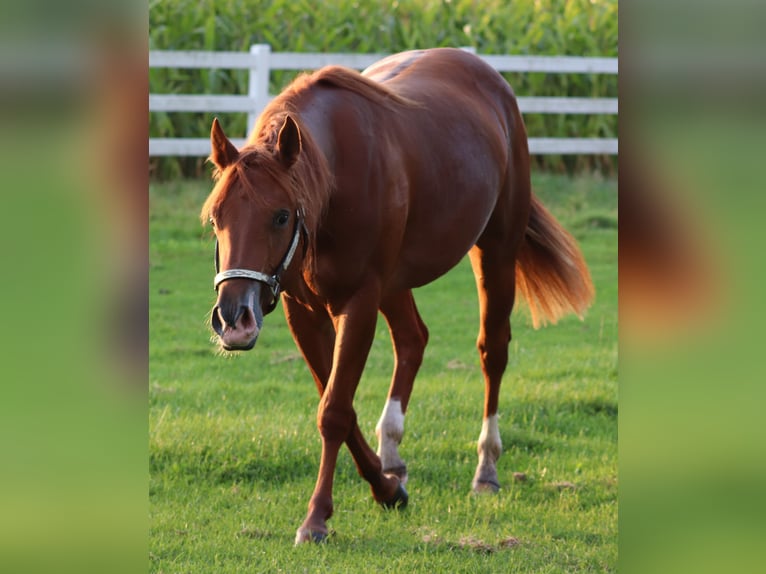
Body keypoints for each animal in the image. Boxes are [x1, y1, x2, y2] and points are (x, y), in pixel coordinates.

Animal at [201, 47, 594, 545]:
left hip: (495, 252)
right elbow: (339, 402)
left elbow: (334, 410)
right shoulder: (302, 312)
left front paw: (316, 518)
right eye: (216, 217)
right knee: (412, 340)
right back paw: (393, 457)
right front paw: (387, 488)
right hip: (396, 283)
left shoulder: (359, 301)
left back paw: (486, 468)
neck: (335, 180)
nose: (234, 319)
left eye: (281, 215)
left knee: (493, 351)